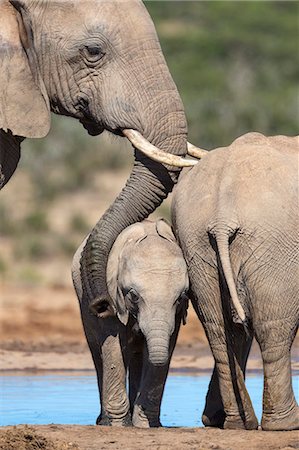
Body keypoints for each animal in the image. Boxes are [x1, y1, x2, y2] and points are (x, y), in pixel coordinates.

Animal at [72, 220, 189, 428]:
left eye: (181, 297)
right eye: (134, 296)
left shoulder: (175, 315)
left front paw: (145, 424)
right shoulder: (111, 294)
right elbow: (113, 346)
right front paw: (119, 424)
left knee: (136, 356)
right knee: (99, 353)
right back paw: (103, 421)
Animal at [172, 133, 298, 432]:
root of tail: (222, 215)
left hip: (195, 243)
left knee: (219, 330)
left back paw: (237, 422)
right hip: (274, 245)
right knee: (273, 328)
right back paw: (285, 424)